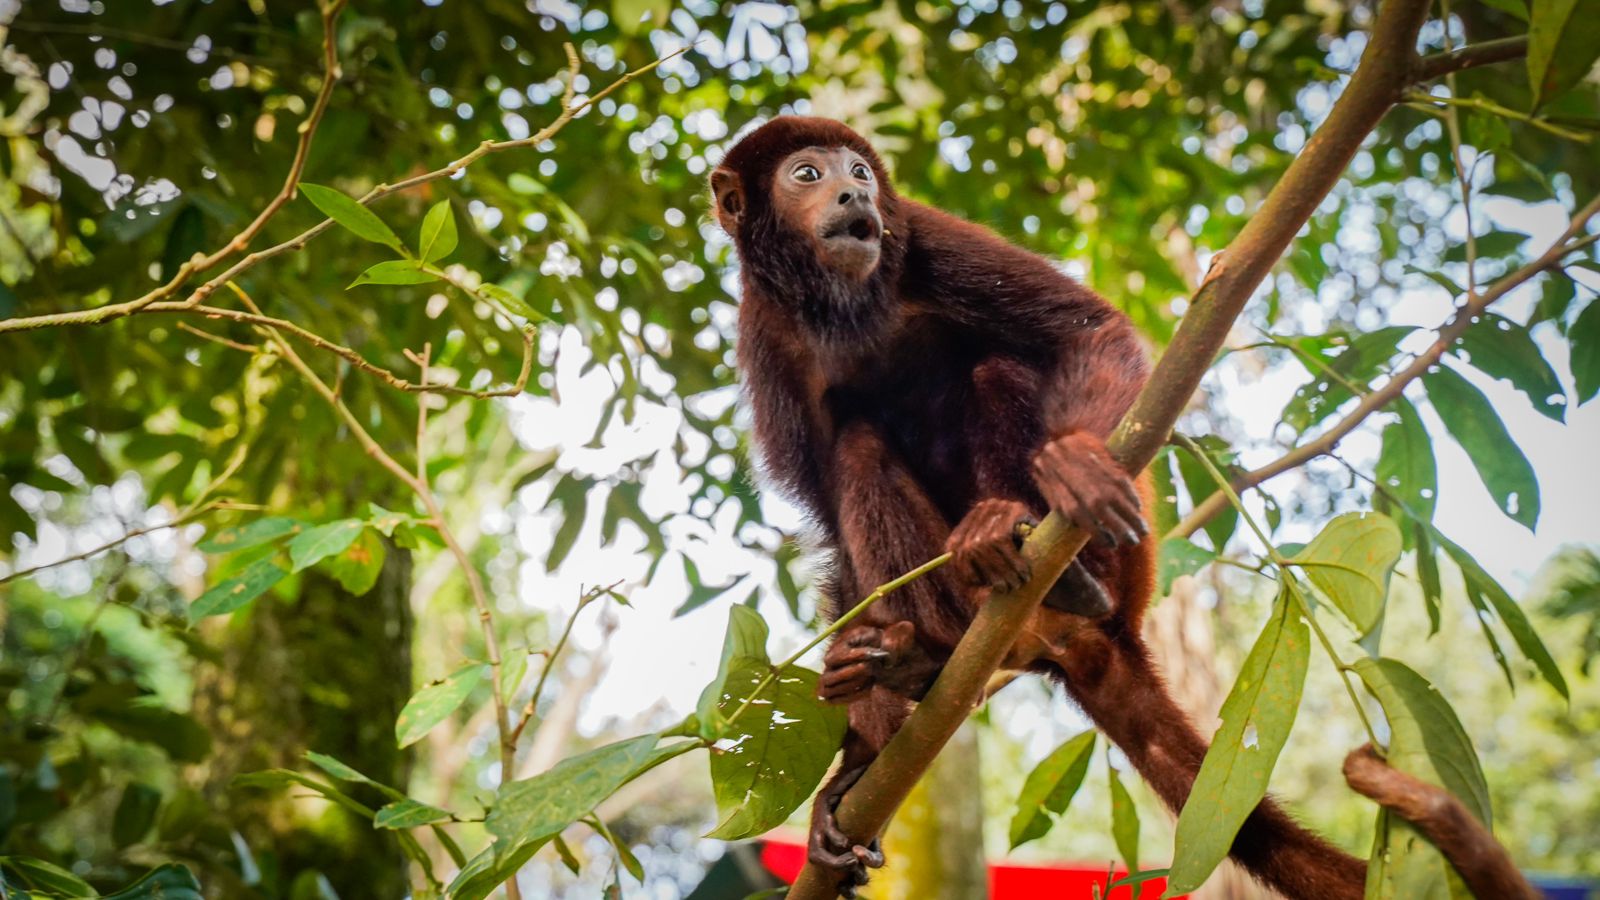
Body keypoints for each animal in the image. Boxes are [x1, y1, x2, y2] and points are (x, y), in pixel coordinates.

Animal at [710, 117, 1365, 899]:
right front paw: (855, 762)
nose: (851, 194)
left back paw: (1053, 562)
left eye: (859, 172)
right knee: (857, 444)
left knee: (998, 368)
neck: (841, 310)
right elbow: (827, 518)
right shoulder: (765, 337)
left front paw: (1075, 464)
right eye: (807, 175)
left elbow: (1088, 327)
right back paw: (922, 656)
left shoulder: (927, 237)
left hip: (1128, 565)